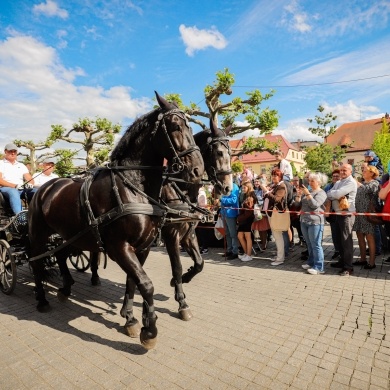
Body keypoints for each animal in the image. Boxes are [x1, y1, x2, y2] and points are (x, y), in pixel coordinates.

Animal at [27, 92, 204, 350]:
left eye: (191, 126)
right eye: (175, 126)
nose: (198, 170)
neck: (132, 186)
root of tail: (45, 187)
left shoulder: (143, 247)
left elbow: (133, 282)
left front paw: (130, 318)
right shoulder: (119, 247)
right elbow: (147, 284)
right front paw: (149, 330)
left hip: (71, 235)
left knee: (60, 255)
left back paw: (65, 288)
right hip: (38, 234)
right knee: (37, 262)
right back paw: (41, 299)